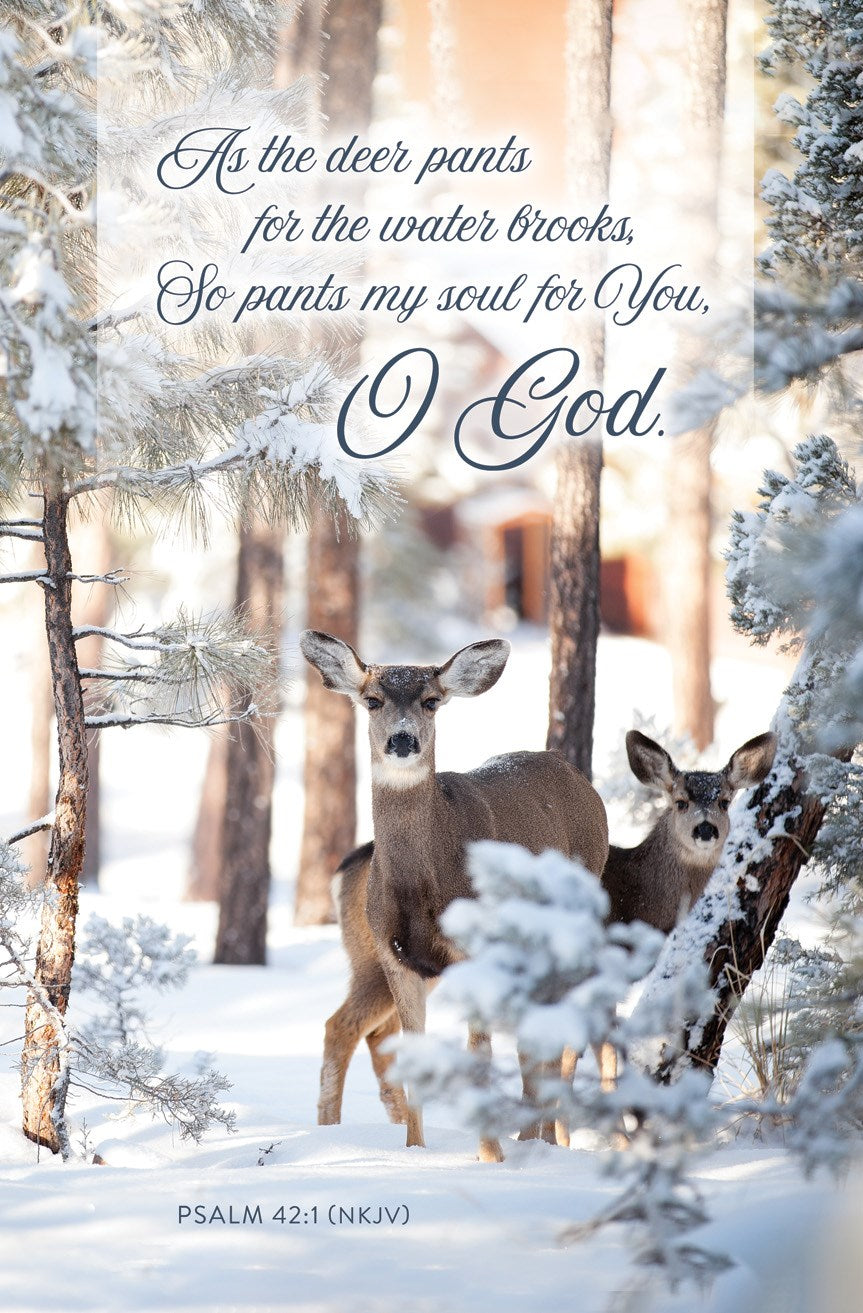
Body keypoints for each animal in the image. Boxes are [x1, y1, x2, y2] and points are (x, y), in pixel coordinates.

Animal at [300, 629, 609, 1161]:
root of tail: (574, 776)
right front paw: (414, 1149)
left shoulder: (474, 953)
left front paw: (489, 1157)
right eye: (372, 700)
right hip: (378, 960)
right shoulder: (397, 956)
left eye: (431, 701)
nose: (403, 740)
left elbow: (479, 1052)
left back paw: (541, 1142)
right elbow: (413, 1050)